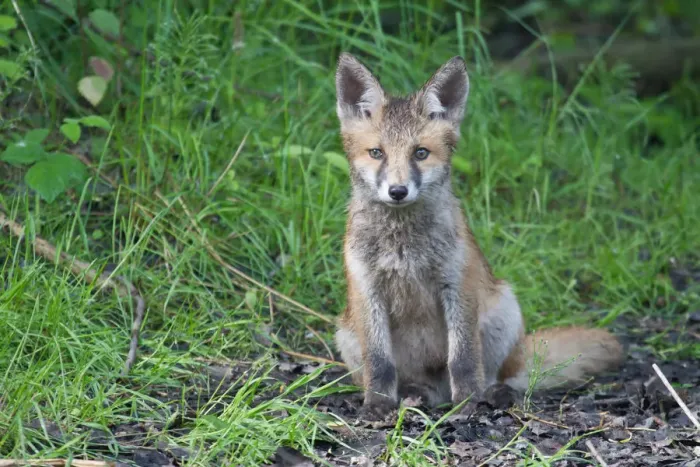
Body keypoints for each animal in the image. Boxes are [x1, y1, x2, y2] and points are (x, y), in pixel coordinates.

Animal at [332, 52, 625, 420]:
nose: (398, 191)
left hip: (505, 308)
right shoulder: (367, 290)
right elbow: (380, 363)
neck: (405, 249)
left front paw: (468, 403)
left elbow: (463, 358)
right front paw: (378, 404)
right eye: (377, 153)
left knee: (501, 376)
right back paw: (416, 395)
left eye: (420, 153)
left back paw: (491, 394)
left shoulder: (458, 283)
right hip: (346, 333)